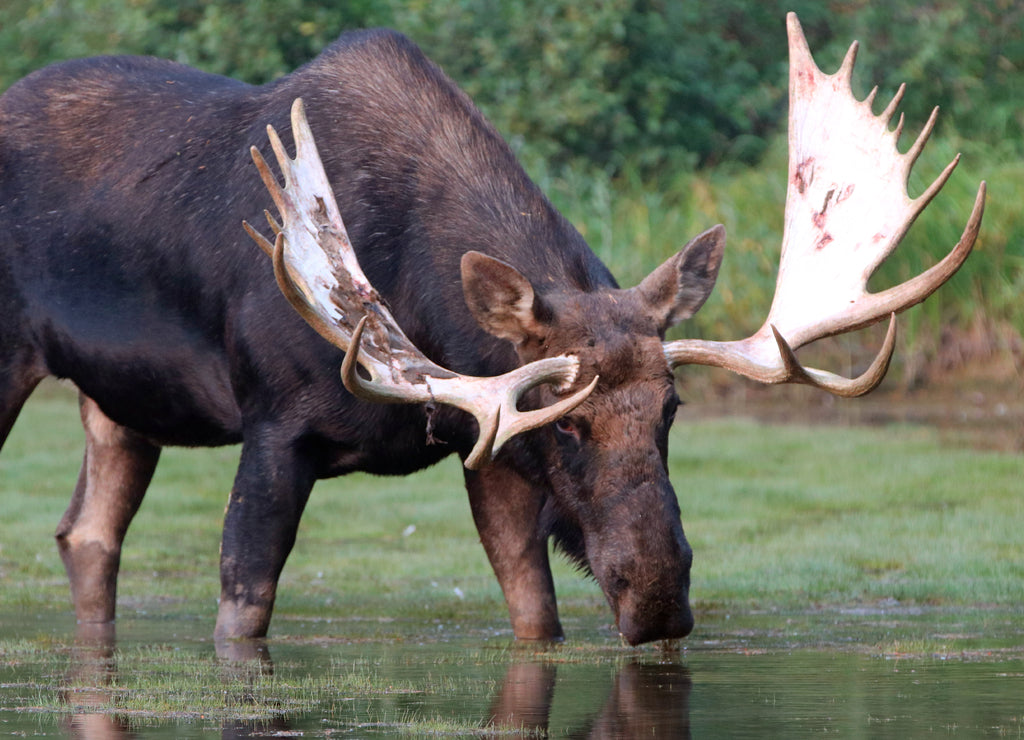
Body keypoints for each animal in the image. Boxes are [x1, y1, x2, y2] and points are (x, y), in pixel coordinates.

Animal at [0, 14, 983, 648]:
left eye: (671, 411)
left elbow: (533, 615)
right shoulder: (276, 427)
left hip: (117, 408)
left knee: (86, 534)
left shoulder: (490, 449)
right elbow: (243, 609)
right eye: (567, 423)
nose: (660, 597)